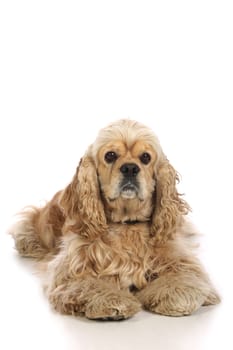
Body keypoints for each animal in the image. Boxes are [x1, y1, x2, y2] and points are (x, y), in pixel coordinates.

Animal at [9, 119, 220, 318]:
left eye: (145, 157)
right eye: (110, 155)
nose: (130, 168)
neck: (127, 224)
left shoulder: (178, 257)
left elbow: (184, 277)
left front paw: (177, 295)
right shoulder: (72, 268)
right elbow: (89, 284)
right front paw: (113, 302)